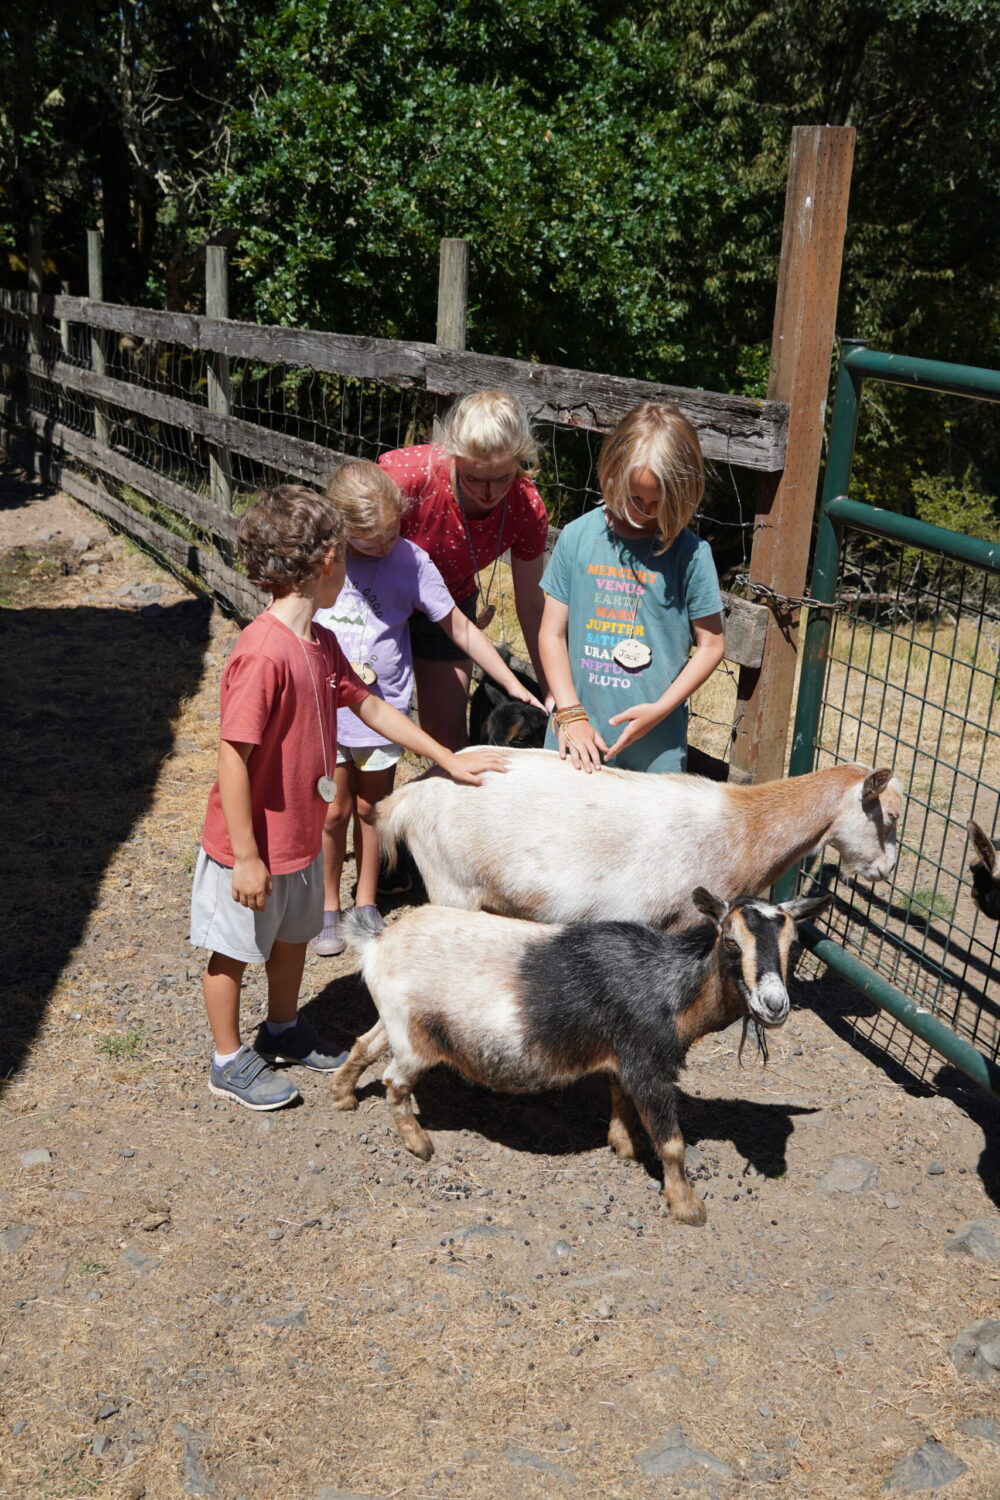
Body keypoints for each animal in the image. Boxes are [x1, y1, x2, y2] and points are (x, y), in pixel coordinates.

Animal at [332, 888, 833, 1218]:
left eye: (792, 945)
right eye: (731, 941)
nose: (774, 1005)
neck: (670, 986)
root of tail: (378, 942)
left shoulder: (622, 1056)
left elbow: (618, 1097)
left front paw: (623, 1144)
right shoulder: (648, 1063)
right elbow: (672, 1141)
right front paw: (687, 1207)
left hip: (397, 1021)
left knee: (364, 1044)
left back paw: (343, 1096)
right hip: (417, 1041)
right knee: (395, 1081)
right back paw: (419, 1145)